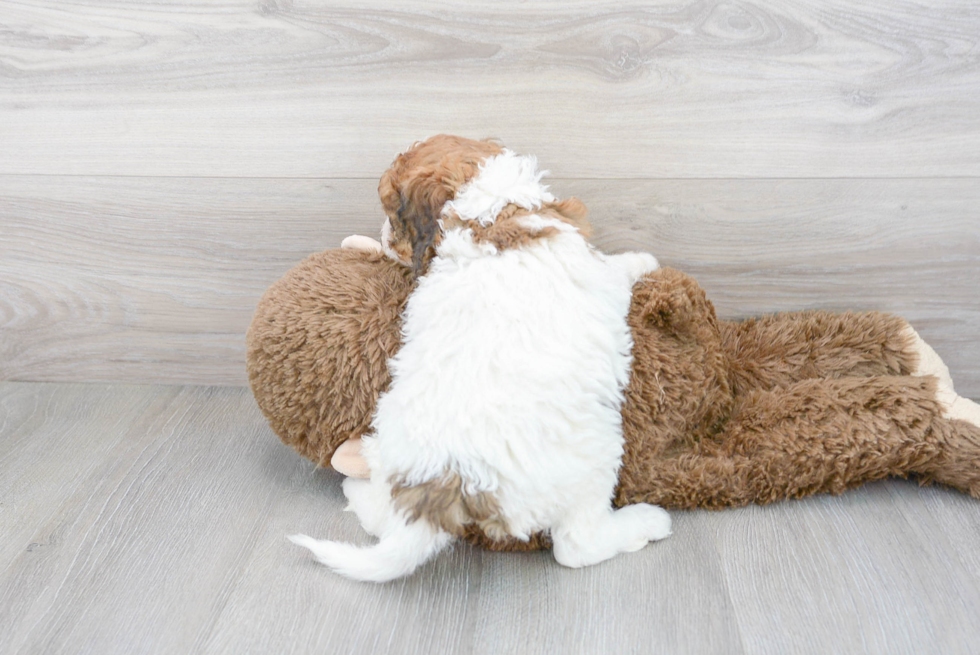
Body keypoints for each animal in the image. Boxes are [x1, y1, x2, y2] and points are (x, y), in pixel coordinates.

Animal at [290, 136, 672, 580]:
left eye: (390, 212)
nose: (382, 237)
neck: (492, 210)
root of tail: (446, 481)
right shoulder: (597, 268)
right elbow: (618, 266)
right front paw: (644, 260)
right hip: (596, 456)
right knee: (576, 545)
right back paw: (648, 522)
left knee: (381, 517)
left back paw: (356, 489)